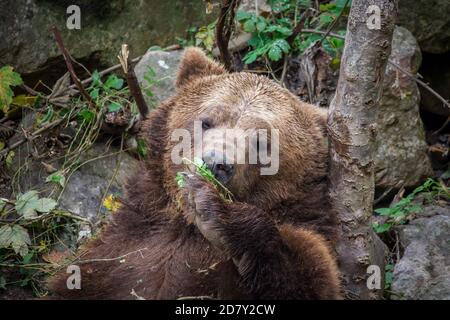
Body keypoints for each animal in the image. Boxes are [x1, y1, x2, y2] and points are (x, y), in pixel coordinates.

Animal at [46, 47, 342, 300]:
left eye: (263, 142)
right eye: (207, 121)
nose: (215, 163)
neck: (185, 225)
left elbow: (309, 275)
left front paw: (216, 212)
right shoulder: (121, 248)